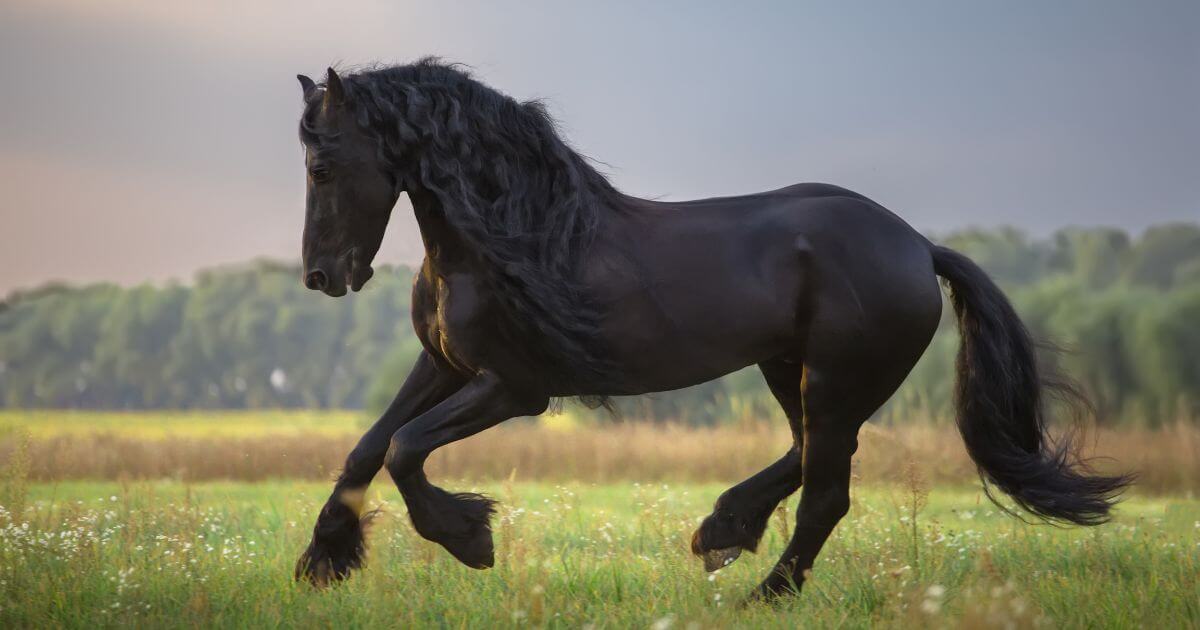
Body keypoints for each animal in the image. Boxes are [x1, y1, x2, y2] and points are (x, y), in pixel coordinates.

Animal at [292, 58, 1132, 600]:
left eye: (322, 166)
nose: (321, 277)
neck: (507, 237)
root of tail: (919, 247)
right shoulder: (445, 366)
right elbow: (368, 445)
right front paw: (322, 559)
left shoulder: (516, 386)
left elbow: (404, 448)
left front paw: (470, 539)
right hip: (789, 370)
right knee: (806, 457)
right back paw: (723, 530)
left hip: (835, 379)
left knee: (828, 490)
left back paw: (765, 590)